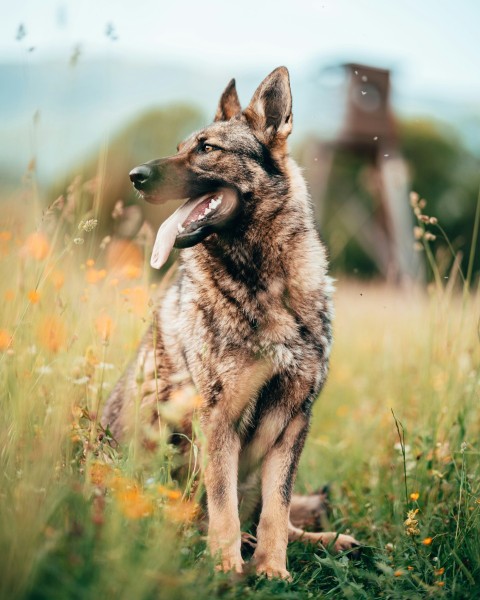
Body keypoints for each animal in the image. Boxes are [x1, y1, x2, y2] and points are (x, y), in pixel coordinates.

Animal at [103, 67, 358, 580]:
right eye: (182, 145)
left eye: (207, 148)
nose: (135, 176)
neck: (263, 282)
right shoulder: (217, 418)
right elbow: (222, 503)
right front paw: (225, 565)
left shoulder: (292, 421)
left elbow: (278, 508)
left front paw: (273, 569)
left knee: (275, 514)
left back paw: (327, 540)